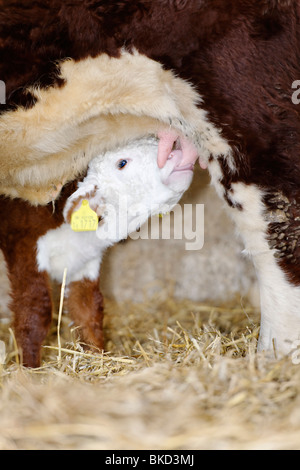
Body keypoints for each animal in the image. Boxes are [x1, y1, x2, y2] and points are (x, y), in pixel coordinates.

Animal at [0, 137, 192, 368]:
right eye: (122, 163)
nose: (177, 151)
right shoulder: (25, 246)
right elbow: (35, 311)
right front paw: (29, 368)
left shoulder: (85, 263)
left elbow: (88, 311)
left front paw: (97, 358)